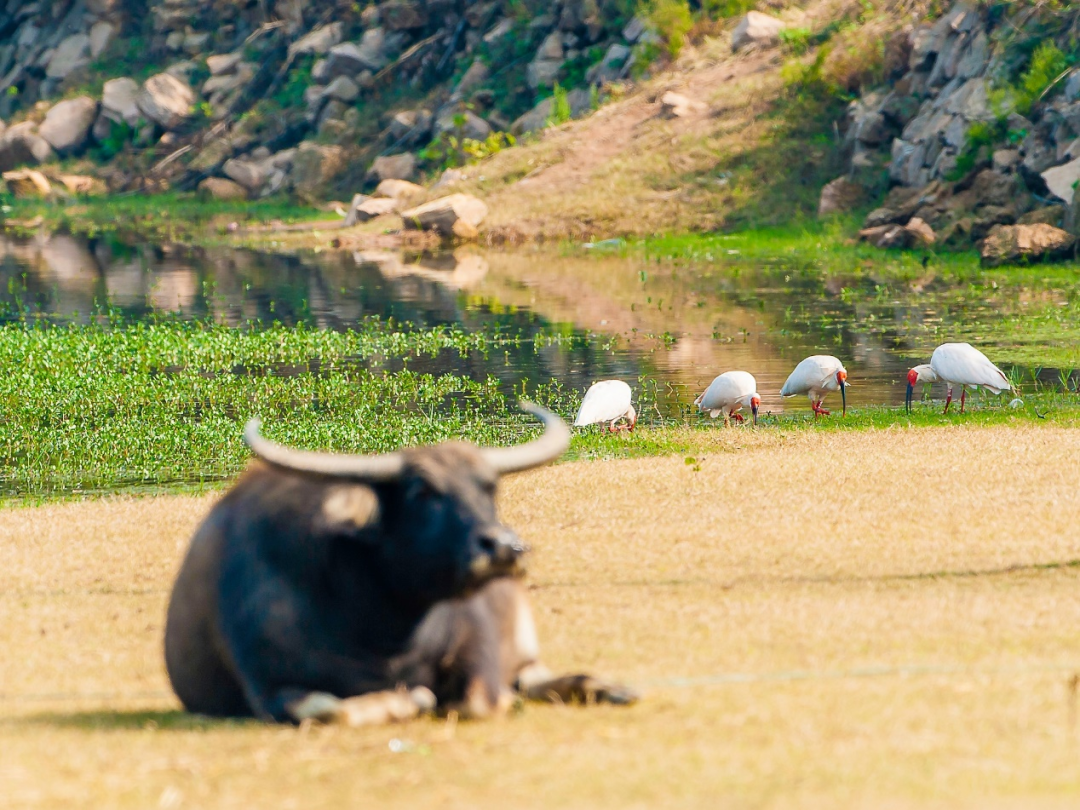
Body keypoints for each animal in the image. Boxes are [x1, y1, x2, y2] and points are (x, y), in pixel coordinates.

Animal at [159, 403, 630, 725]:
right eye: (421, 492)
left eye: (489, 487)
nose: (505, 548)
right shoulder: (268, 687)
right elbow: (332, 708)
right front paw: (410, 700)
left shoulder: (477, 645)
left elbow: (480, 698)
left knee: (533, 675)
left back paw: (611, 689)